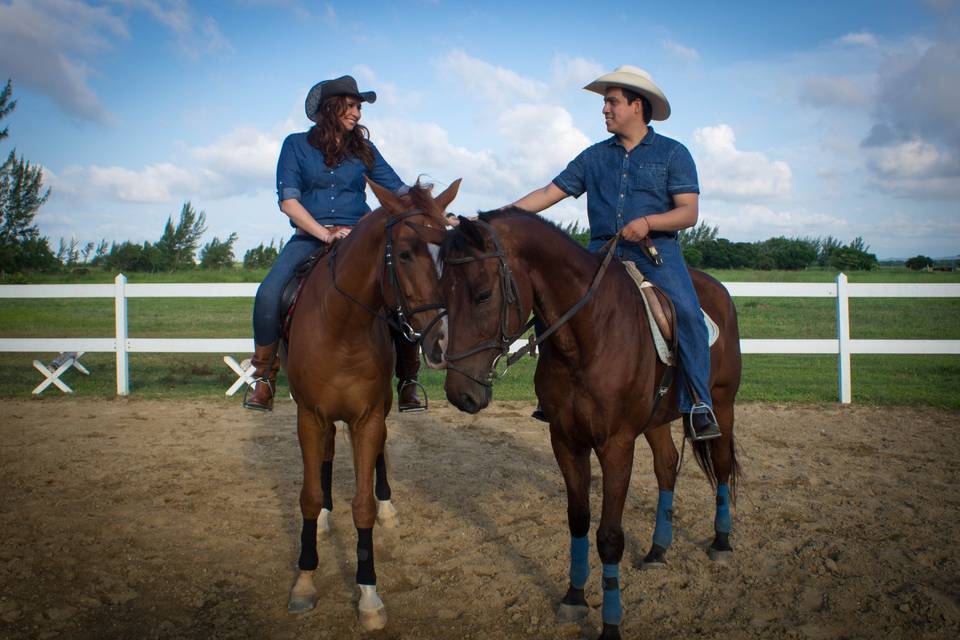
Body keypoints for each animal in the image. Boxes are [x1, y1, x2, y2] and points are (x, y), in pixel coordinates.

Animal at [284, 179, 460, 632]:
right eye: (405, 252)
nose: (441, 342)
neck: (340, 325)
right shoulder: (310, 417)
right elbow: (309, 495)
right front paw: (304, 582)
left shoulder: (367, 417)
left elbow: (361, 505)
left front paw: (368, 595)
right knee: (327, 456)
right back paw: (325, 517)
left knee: (378, 456)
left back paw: (387, 508)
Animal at [434, 208, 744, 636]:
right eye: (443, 294)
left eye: (482, 294)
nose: (459, 393)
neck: (589, 333)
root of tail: (719, 290)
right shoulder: (566, 440)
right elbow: (578, 521)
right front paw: (574, 597)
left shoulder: (616, 445)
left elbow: (609, 536)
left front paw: (611, 624)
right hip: (656, 420)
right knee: (667, 467)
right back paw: (658, 549)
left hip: (724, 405)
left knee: (723, 465)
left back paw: (721, 543)